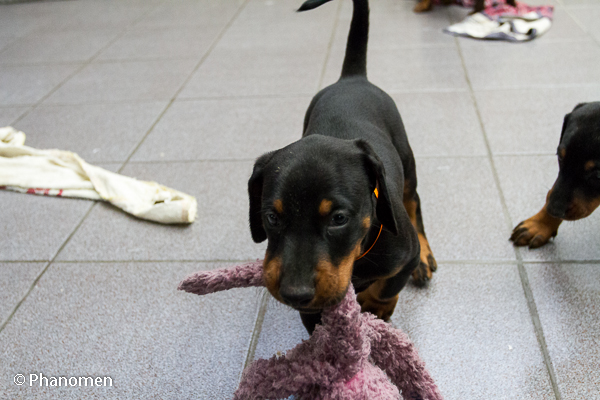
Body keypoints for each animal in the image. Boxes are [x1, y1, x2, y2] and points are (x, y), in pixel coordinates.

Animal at [247, 0, 436, 334]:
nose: (295, 293)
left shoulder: (404, 256)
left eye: (338, 218)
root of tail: (352, 78)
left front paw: (376, 306)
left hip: (406, 159)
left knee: (413, 201)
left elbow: (388, 287)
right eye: (271, 217)